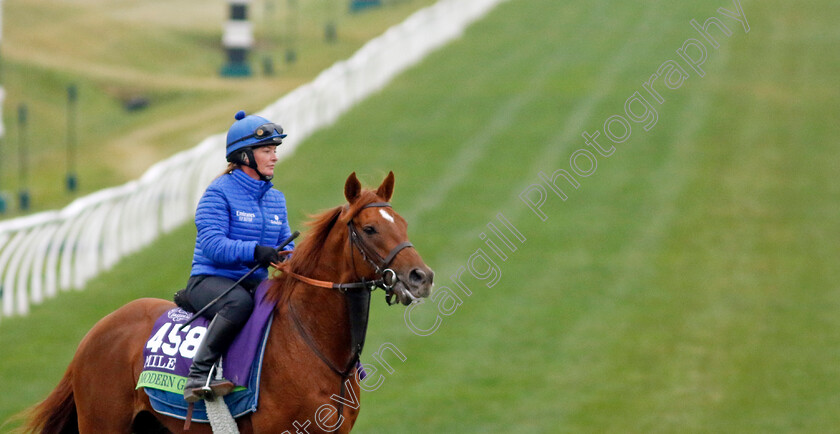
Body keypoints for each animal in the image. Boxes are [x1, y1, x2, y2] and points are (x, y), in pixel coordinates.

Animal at [23, 171, 436, 432]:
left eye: (402, 224)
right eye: (370, 228)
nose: (422, 277)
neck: (314, 346)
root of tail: (94, 333)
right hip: (103, 422)